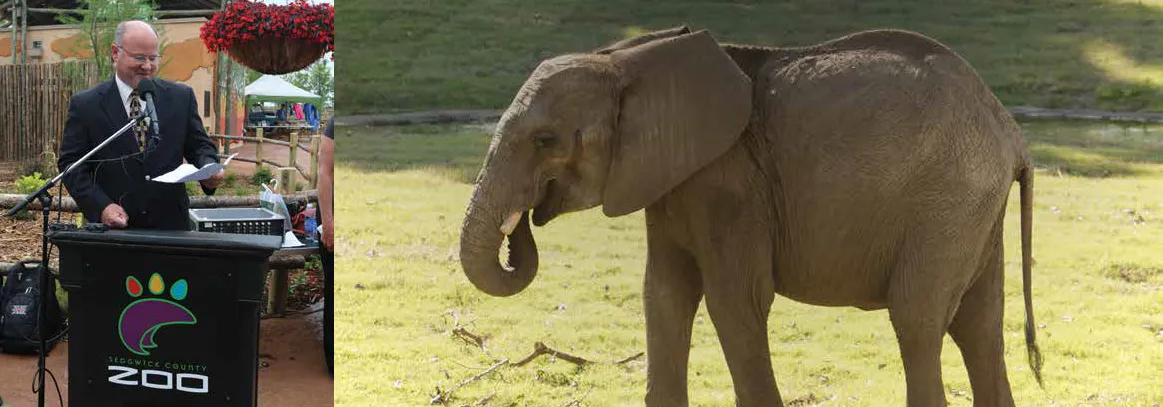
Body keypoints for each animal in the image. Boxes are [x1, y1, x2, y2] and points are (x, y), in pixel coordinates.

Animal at [458, 26, 1043, 407]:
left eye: (544, 141)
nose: (523, 223)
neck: (627, 58)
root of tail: (1011, 133)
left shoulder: (730, 183)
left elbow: (734, 300)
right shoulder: (671, 181)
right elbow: (664, 295)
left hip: (949, 201)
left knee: (918, 318)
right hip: (972, 210)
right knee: (978, 324)